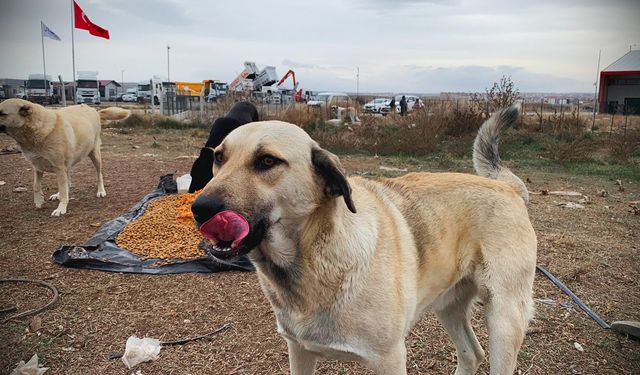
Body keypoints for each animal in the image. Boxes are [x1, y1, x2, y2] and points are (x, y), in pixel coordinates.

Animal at [192, 104, 536, 374]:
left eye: (267, 161)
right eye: (219, 158)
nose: (200, 208)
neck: (314, 260)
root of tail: (507, 187)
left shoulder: (389, 359)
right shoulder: (299, 351)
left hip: (504, 320)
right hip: (449, 306)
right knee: (471, 354)